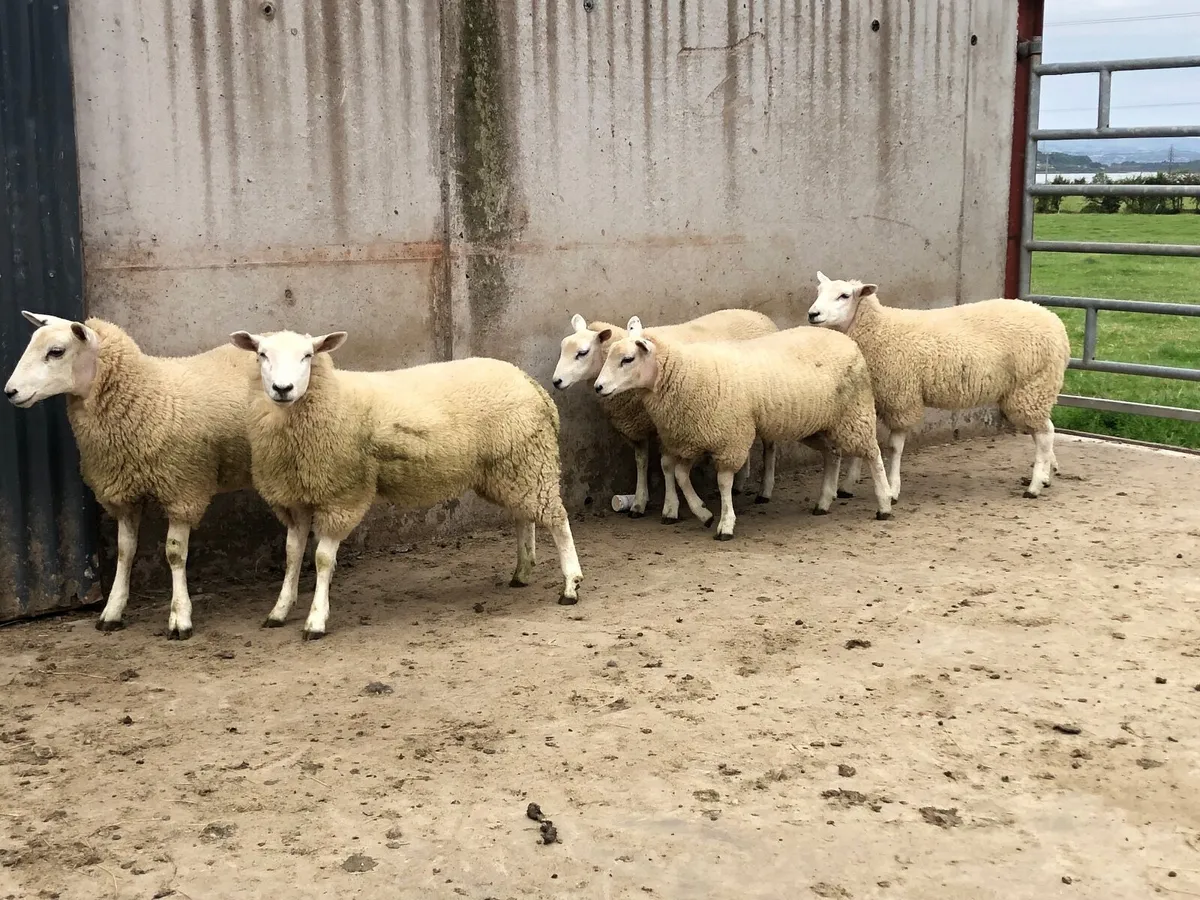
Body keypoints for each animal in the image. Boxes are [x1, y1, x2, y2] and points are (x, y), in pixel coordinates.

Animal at [4, 312, 256, 639]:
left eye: (56, 352)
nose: (10, 392)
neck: (144, 394)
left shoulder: (183, 488)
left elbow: (174, 554)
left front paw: (180, 617)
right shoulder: (123, 493)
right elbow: (125, 551)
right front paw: (112, 611)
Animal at [229, 328, 584, 640]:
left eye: (307, 355)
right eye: (262, 355)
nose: (283, 388)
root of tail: (530, 382)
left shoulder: (341, 495)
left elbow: (322, 560)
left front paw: (316, 620)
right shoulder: (295, 498)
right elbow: (292, 555)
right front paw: (279, 611)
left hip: (528, 459)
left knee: (557, 518)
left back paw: (570, 585)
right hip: (510, 466)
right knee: (525, 516)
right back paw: (522, 572)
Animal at [552, 308, 778, 520]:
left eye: (582, 352)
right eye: (562, 349)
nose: (556, 381)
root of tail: (759, 316)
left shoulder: (666, 425)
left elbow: (666, 465)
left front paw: (670, 508)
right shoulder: (638, 425)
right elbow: (641, 462)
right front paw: (639, 503)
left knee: (769, 448)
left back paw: (764, 491)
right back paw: (739, 483)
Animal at [592, 319, 893, 540]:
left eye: (628, 359)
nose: (598, 387)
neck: (685, 371)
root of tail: (845, 339)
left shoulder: (729, 438)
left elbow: (723, 482)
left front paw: (725, 524)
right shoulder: (692, 438)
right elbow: (679, 475)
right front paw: (703, 513)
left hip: (855, 413)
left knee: (873, 453)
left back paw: (885, 503)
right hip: (816, 425)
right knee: (832, 454)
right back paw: (823, 502)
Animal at [806, 272, 1071, 500]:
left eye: (844, 296)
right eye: (818, 291)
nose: (813, 314)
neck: (879, 329)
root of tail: (1054, 319)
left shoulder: (902, 398)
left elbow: (894, 448)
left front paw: (893, 489)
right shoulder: (867, 398)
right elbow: (861, 444)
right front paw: (848, 485)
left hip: (1032, 387)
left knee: (1045, 433)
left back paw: (1035, 486)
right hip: (1030, 390)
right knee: (1042, 430)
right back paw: (1047, 474)